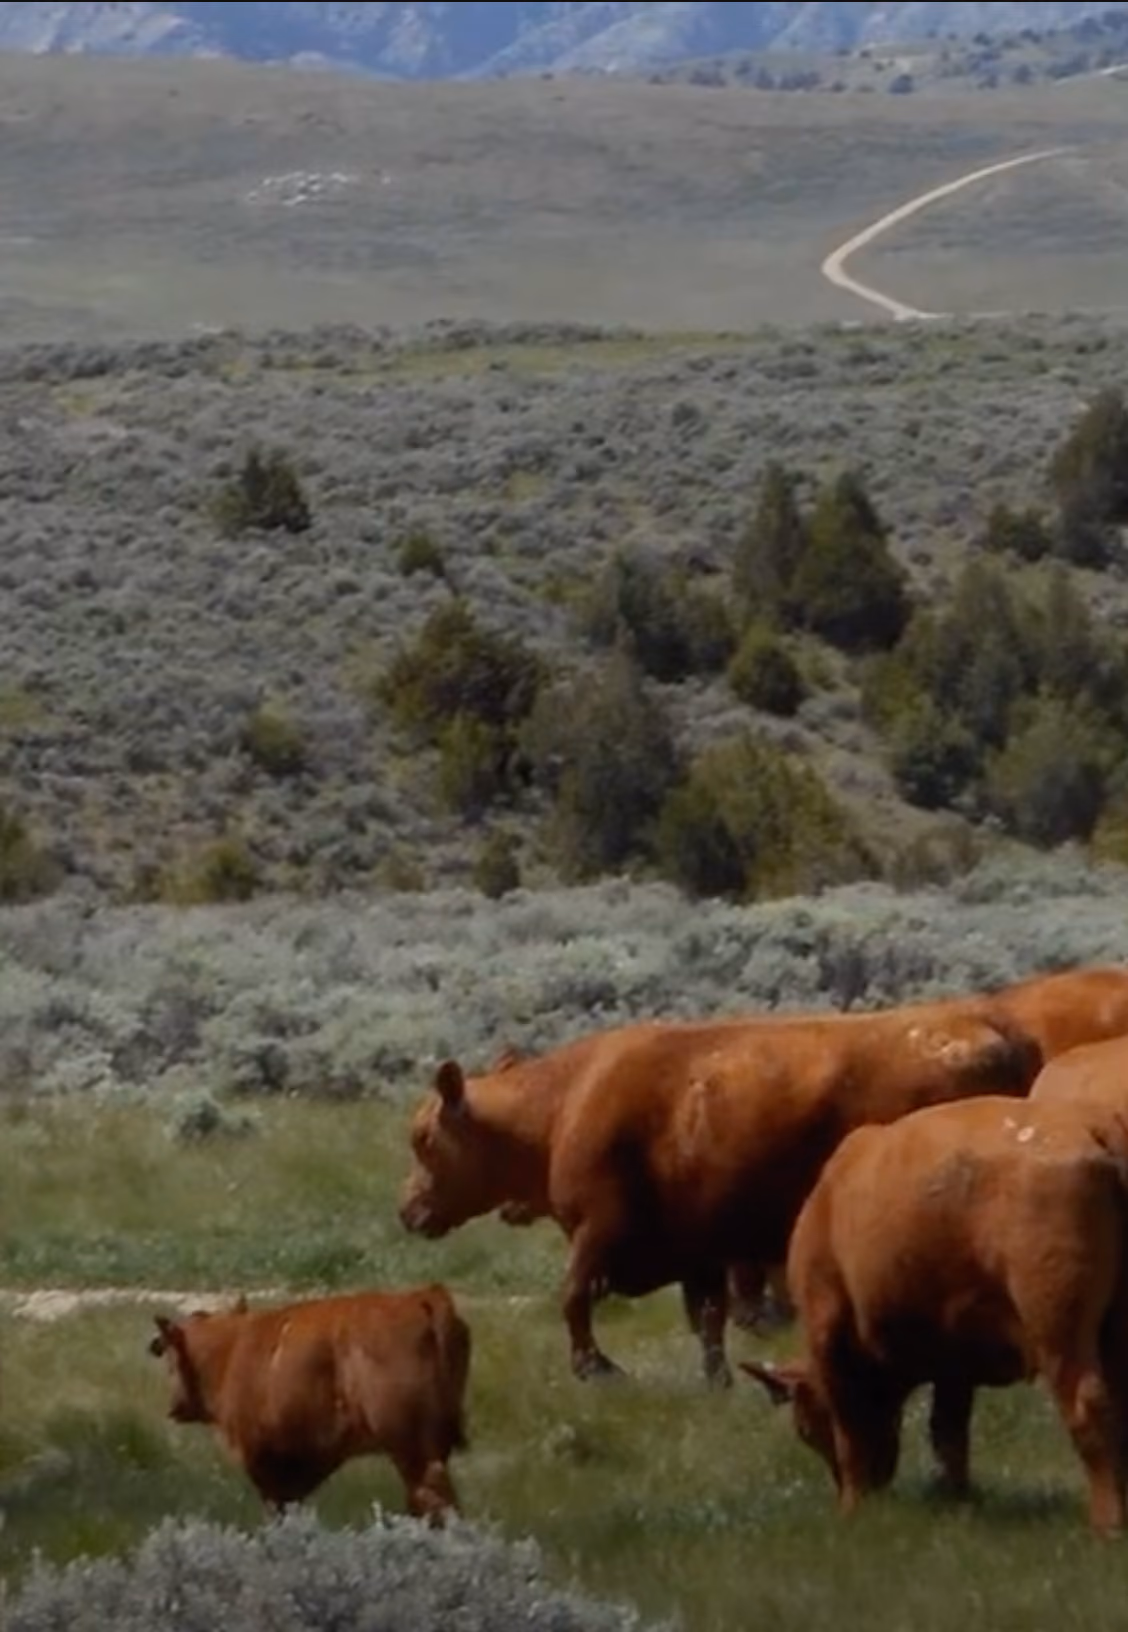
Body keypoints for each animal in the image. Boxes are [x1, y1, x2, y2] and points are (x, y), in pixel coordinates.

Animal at [149, 1285, 471, 1524]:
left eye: (171, 1360)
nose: (173, 1407)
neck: (230, 1350)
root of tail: (421, 1297)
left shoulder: (265, 1466)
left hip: (411, 1451)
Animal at [399, 1006, 1041, 1386]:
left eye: (424, 1137)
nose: (408, 1210)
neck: (563, 1103)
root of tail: (995, 1031)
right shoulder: (701, 1253)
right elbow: (708, 1320)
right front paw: (718, 1380)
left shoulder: (598, 1231)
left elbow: (574, 1296)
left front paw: (596, 1368)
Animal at [741, 1094, 1128, 1535]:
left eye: (805, 1428)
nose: (875, 1487)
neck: (831, 1201)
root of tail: (1097, 1129)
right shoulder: (955, 1361)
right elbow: (948, 1431)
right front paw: (955, 1496)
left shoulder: (830, 1338)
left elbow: (851, 1433)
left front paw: (851, 1507)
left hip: (1059, 1329)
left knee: (1087, 1404)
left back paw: (1108, 1522)